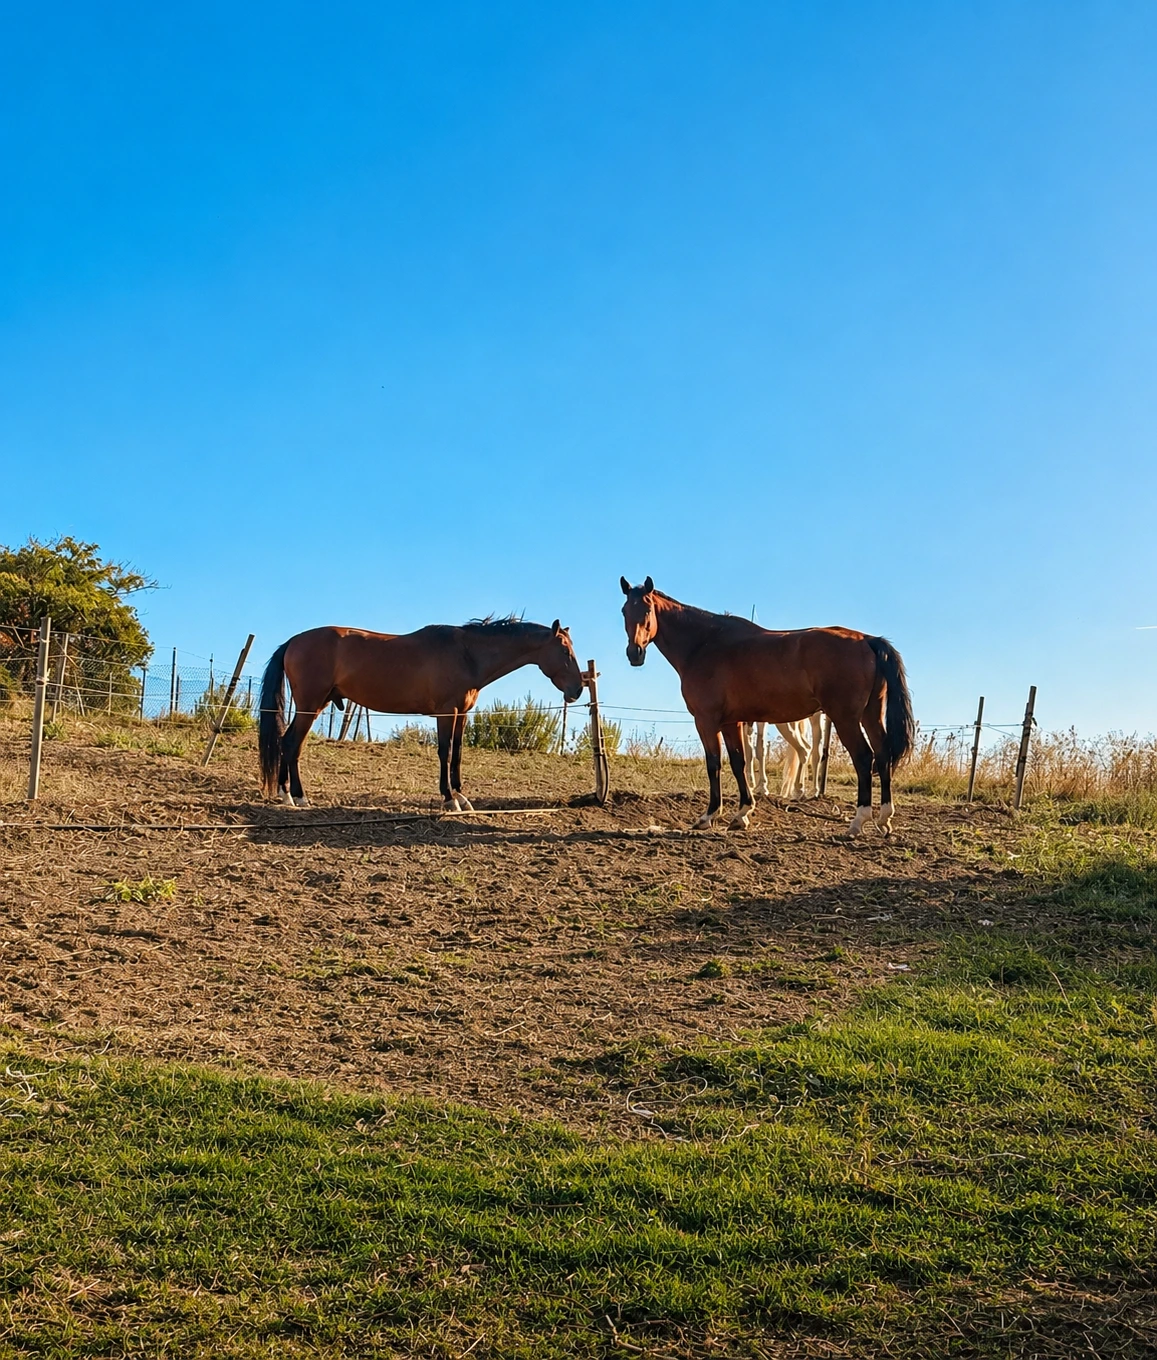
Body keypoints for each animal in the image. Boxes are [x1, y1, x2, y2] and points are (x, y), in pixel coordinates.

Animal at [259, 617, 584, 811]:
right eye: (565, 651)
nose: (578, 690)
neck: (467, 653)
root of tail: (293, 641)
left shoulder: (461, 715)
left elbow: (458, 754)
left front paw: (461, 796)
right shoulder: (446, 713)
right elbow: (445, 752)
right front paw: (449, 799)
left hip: (315, 705)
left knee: (287, 742)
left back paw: (285, 794)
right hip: (310, 705)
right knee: (292, 744)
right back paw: (298, 796)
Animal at [620, 577, 913, 834]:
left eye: (647, 609)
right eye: (624, 611)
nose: (635, 653)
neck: (704, 644)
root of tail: (867, 640)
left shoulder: (706, 720)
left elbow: (714, 764)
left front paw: (709, 815)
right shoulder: (732, 722)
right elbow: (739, 762)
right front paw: (742, 813)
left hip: (845, 719)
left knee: (864, 758)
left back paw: (858, 821)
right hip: (870, 715)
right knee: (883, 754)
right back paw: (884, 819)